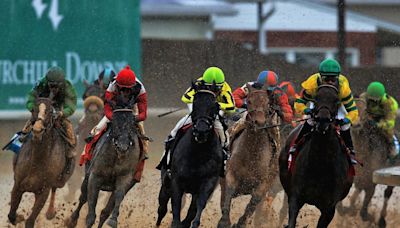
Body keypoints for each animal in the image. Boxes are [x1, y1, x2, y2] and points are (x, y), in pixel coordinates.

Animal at [7, 97, 74, 227]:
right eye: (33, 109)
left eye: (50, 111)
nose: (37, 130)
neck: (36, 163)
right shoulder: (18, 184)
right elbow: (11, 215)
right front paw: (18, 218)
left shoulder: (44, 190)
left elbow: (30, 221)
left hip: (61, 181)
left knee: (55, 188)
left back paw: (50, 212)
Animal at [156, 89, 223, 228]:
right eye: (195, 105)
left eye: (214, 107)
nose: (201, 131)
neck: (198, 154)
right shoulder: (176, 181)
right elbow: (175, 206)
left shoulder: (208, 182)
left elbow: (198, 206)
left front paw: (194, 223)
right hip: (166, 182)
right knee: (162, 206)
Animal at [217, 86, 280, 228]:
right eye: (249, 101)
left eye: (267, 103)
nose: (259, 122)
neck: (252, 154)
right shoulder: (230, 174)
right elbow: (229, 192)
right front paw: (224, 221)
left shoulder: (263, 184)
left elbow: (253, 202)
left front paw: (240, 223)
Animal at [280, 84, 352, 228]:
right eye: (316, 98)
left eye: (336, 101)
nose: (322, 120)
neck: (320, 165)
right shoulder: (296, 196)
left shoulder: (329, 208)